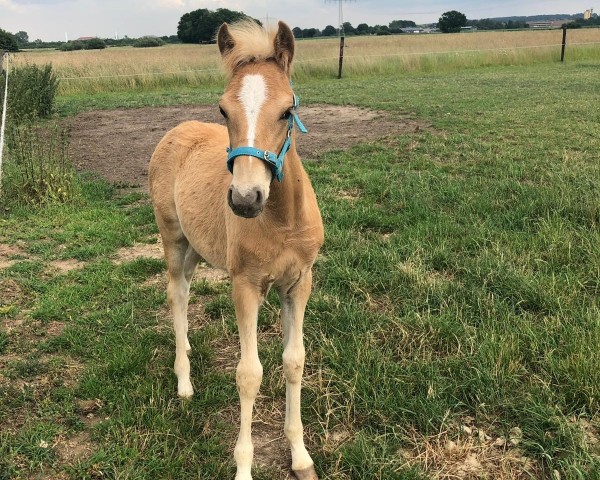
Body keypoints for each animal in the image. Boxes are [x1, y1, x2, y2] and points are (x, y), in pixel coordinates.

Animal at [149, 19, 324, 480]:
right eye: (223, 110)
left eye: (287, 111)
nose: (246, 199)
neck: (282, 220)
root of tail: (175, 131)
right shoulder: (245, 285)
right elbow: (249, 374)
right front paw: (244, 466)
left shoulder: (299, 282)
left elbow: (294, 361)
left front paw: (301, 456)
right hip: (173, 238)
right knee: (176, 294)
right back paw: (184, 380)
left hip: (196, 246)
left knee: (186, 289)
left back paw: (188, 349)